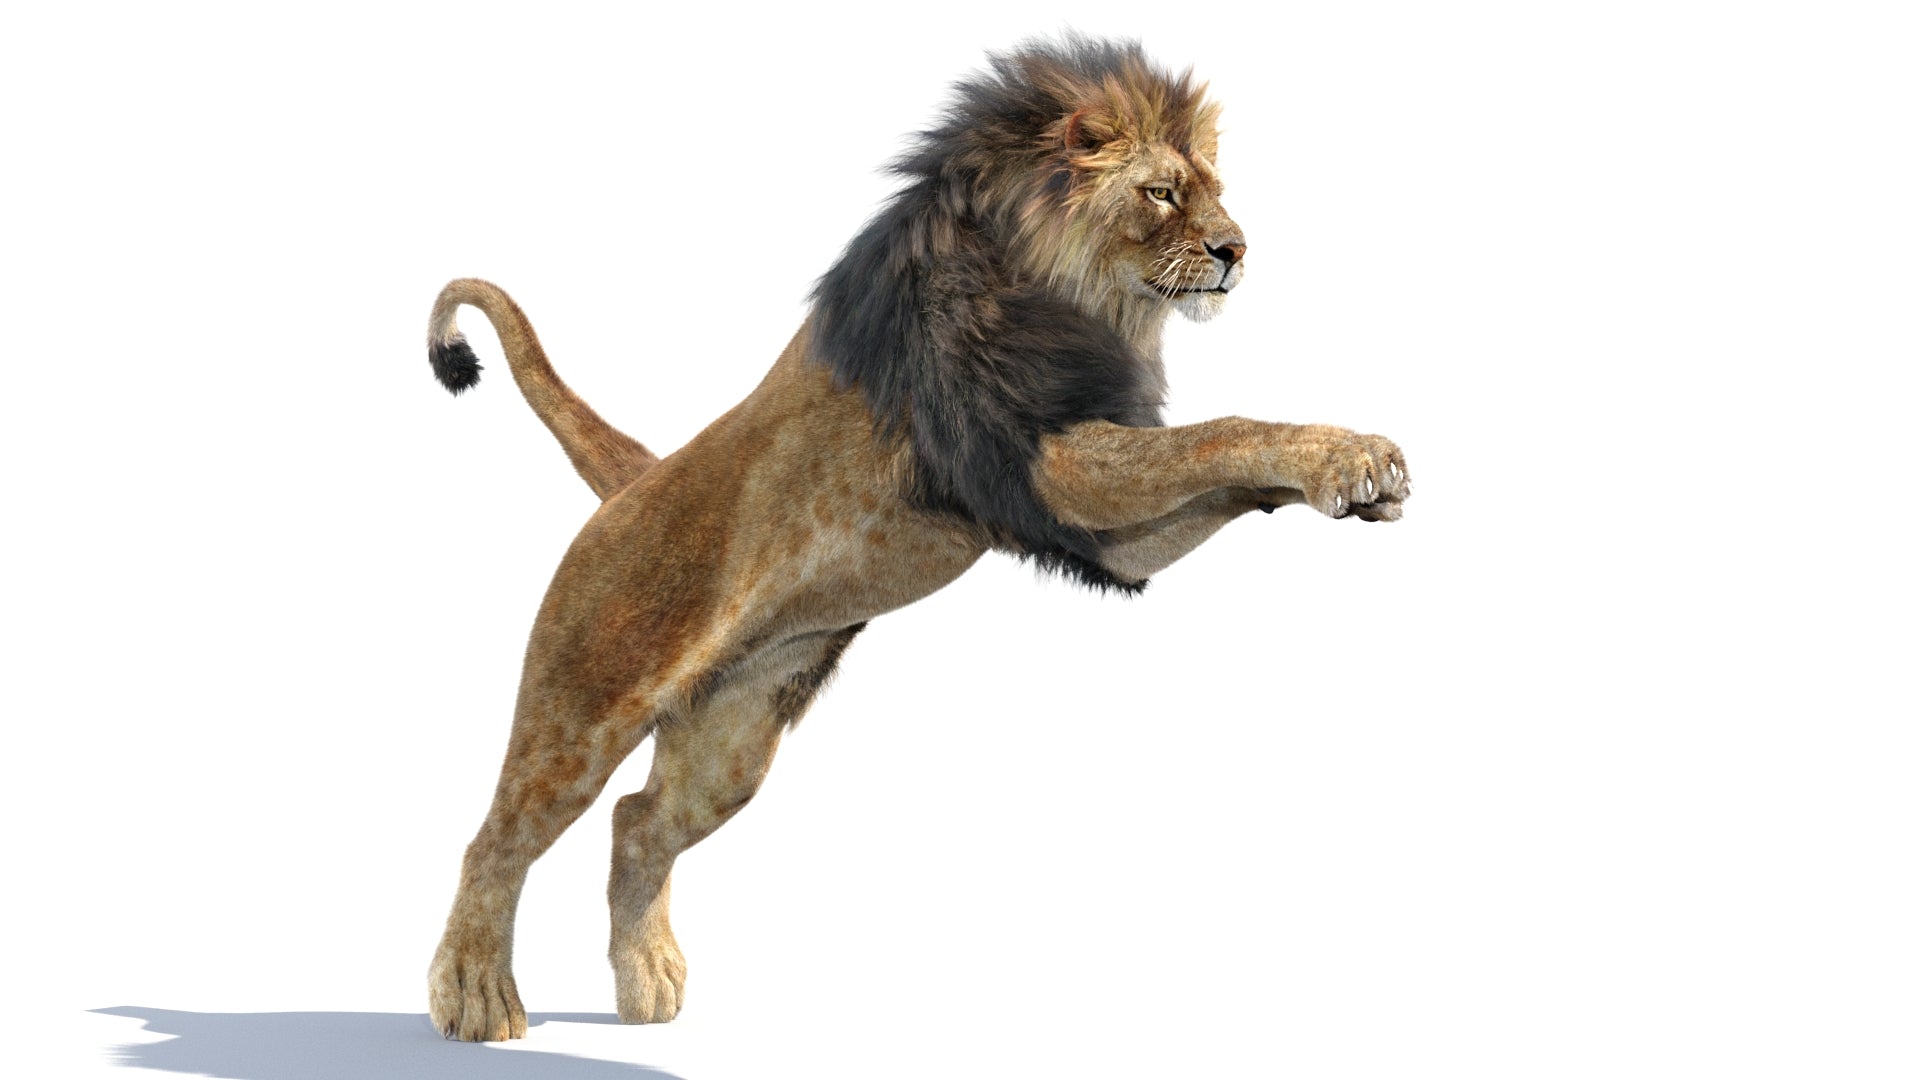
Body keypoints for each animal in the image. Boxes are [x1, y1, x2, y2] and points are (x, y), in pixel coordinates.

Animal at [422, 35, 1409, 1042]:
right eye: (1163, 193)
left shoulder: (1092, 523)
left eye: (1213, 188)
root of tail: (633, 485)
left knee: (634, 821)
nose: (1236, 251)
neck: (1078, 285)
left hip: (733, 738)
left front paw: (1353, 483)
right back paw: (475, 997)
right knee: (496, 839)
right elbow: (1223, 430)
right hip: (587, 702)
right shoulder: (1044, 460)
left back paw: (646, 979)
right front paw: (1350, 455)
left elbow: (1222, 464)